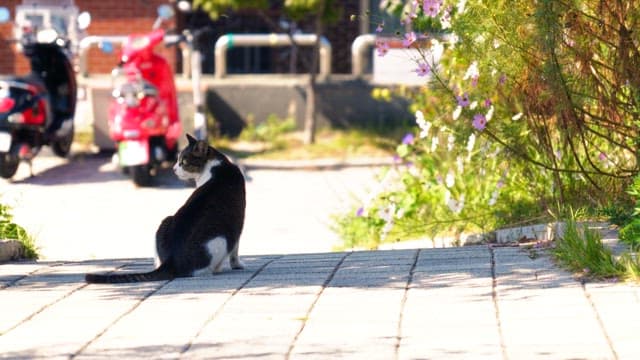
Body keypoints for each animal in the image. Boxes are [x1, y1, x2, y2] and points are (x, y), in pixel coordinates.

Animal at [85, 134, 245, 282]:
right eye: (178, 160)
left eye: (183, 162)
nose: (174, 169)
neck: (215, 166)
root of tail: (171, 260)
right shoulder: (238, 222)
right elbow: (235, 250)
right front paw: (237, 265)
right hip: (222, 238)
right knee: (203, 269)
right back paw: (216, 269)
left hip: (165, 221)